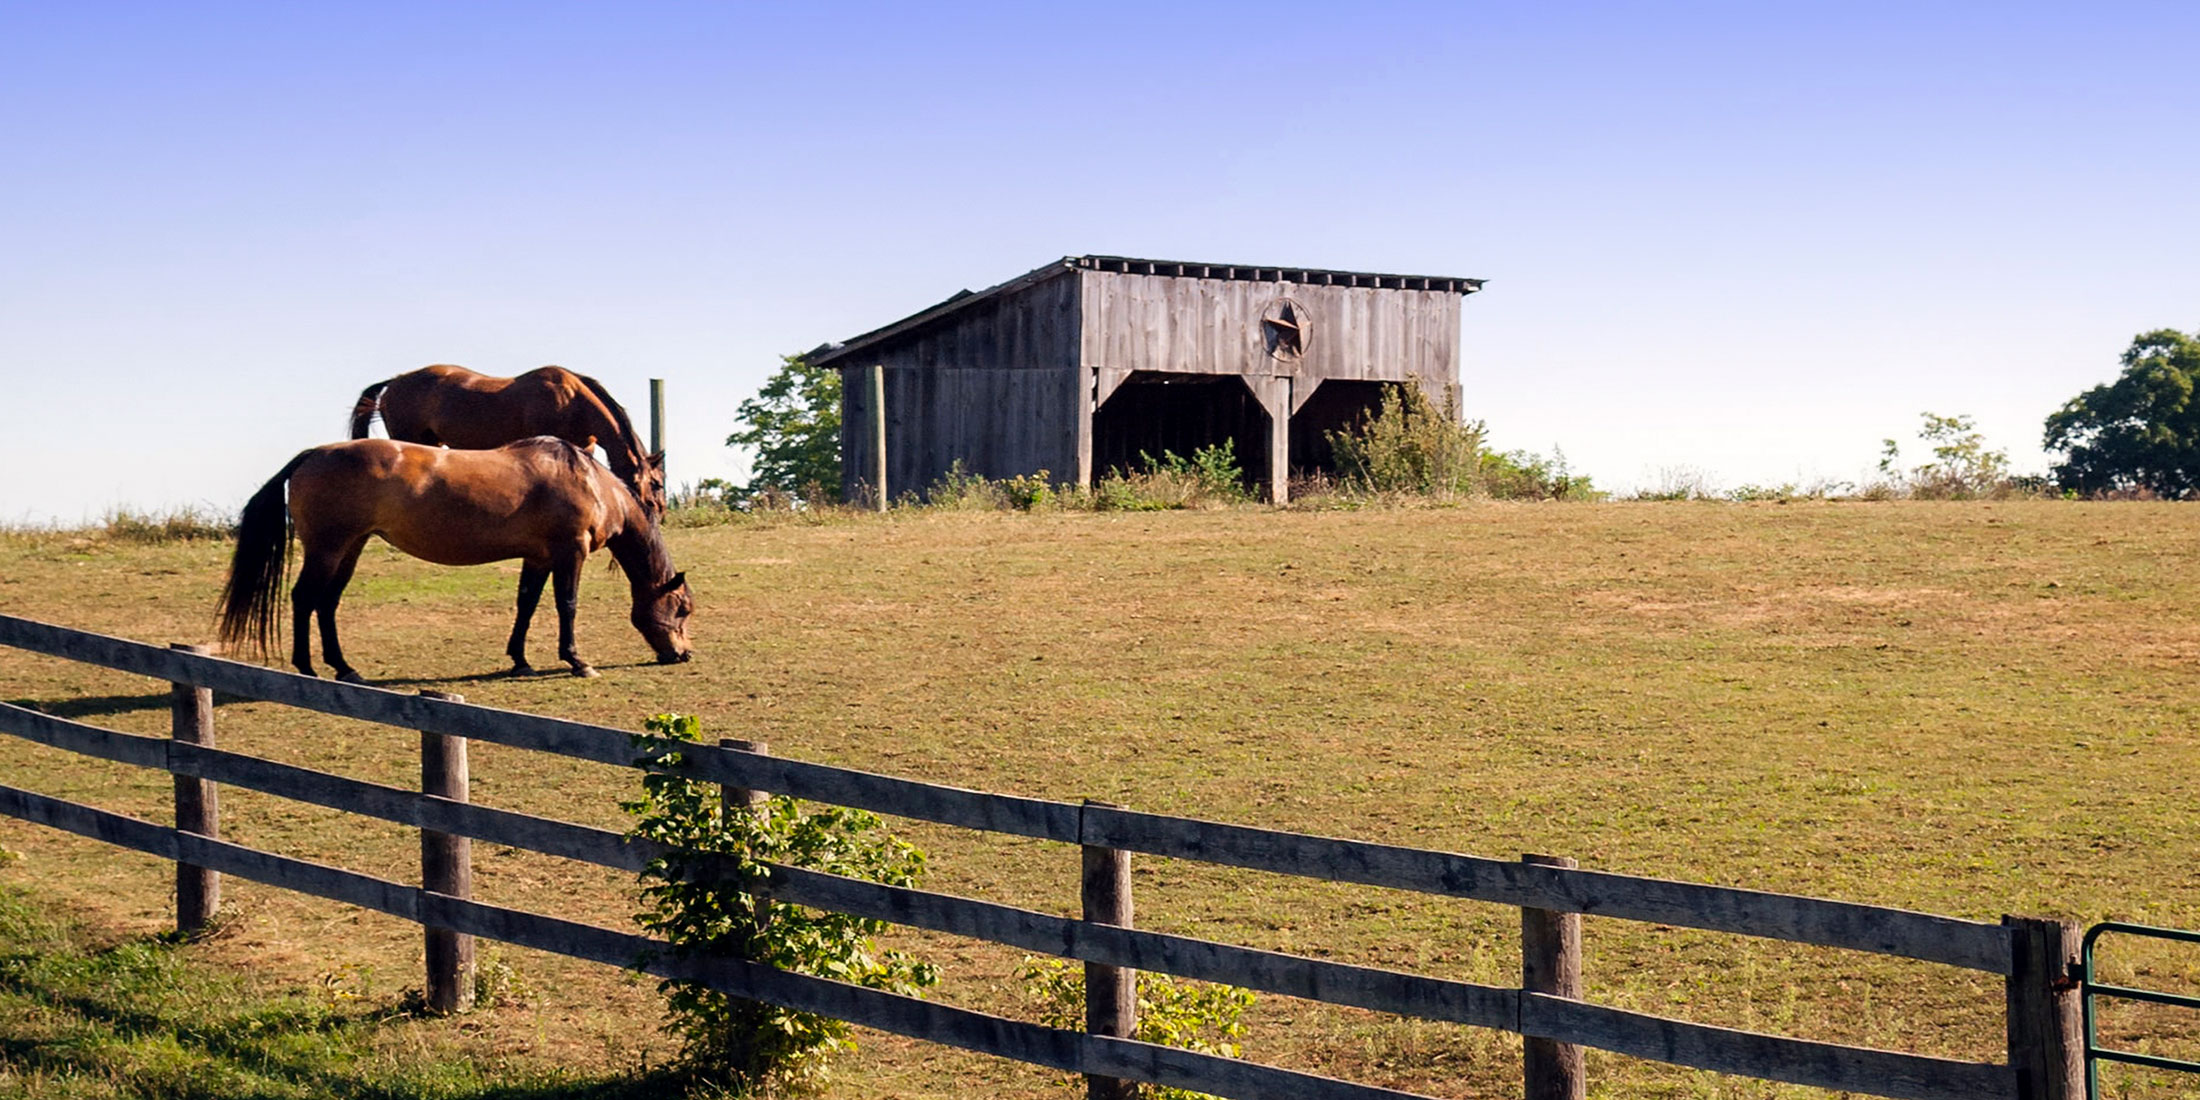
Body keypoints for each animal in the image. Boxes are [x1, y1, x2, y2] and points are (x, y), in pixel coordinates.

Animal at [218, 436, 693, 683]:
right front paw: (577, 661)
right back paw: (307, 668)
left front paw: (519, 659)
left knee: (327, 602)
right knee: (304, 599)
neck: (589, 480)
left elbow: (525, 605)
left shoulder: (538, 558)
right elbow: (567, 606)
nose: (684, 654)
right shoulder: (568, 553)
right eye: (683, 609)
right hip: (328, 549)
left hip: (350, 548)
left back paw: (344, 667)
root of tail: (313, 454)